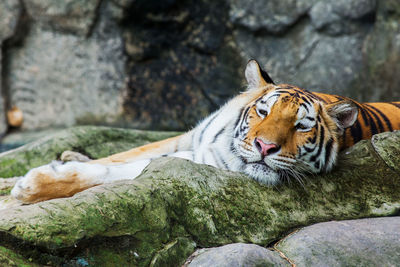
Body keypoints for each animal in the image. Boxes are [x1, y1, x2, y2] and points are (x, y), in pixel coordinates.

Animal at [9, 60, 400, 203]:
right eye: (263, 111)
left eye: (301, 126)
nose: (264, 147)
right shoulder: (186, 139)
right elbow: (122, 155)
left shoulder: (195, 159)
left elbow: (115, 170)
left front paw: (31, 185)